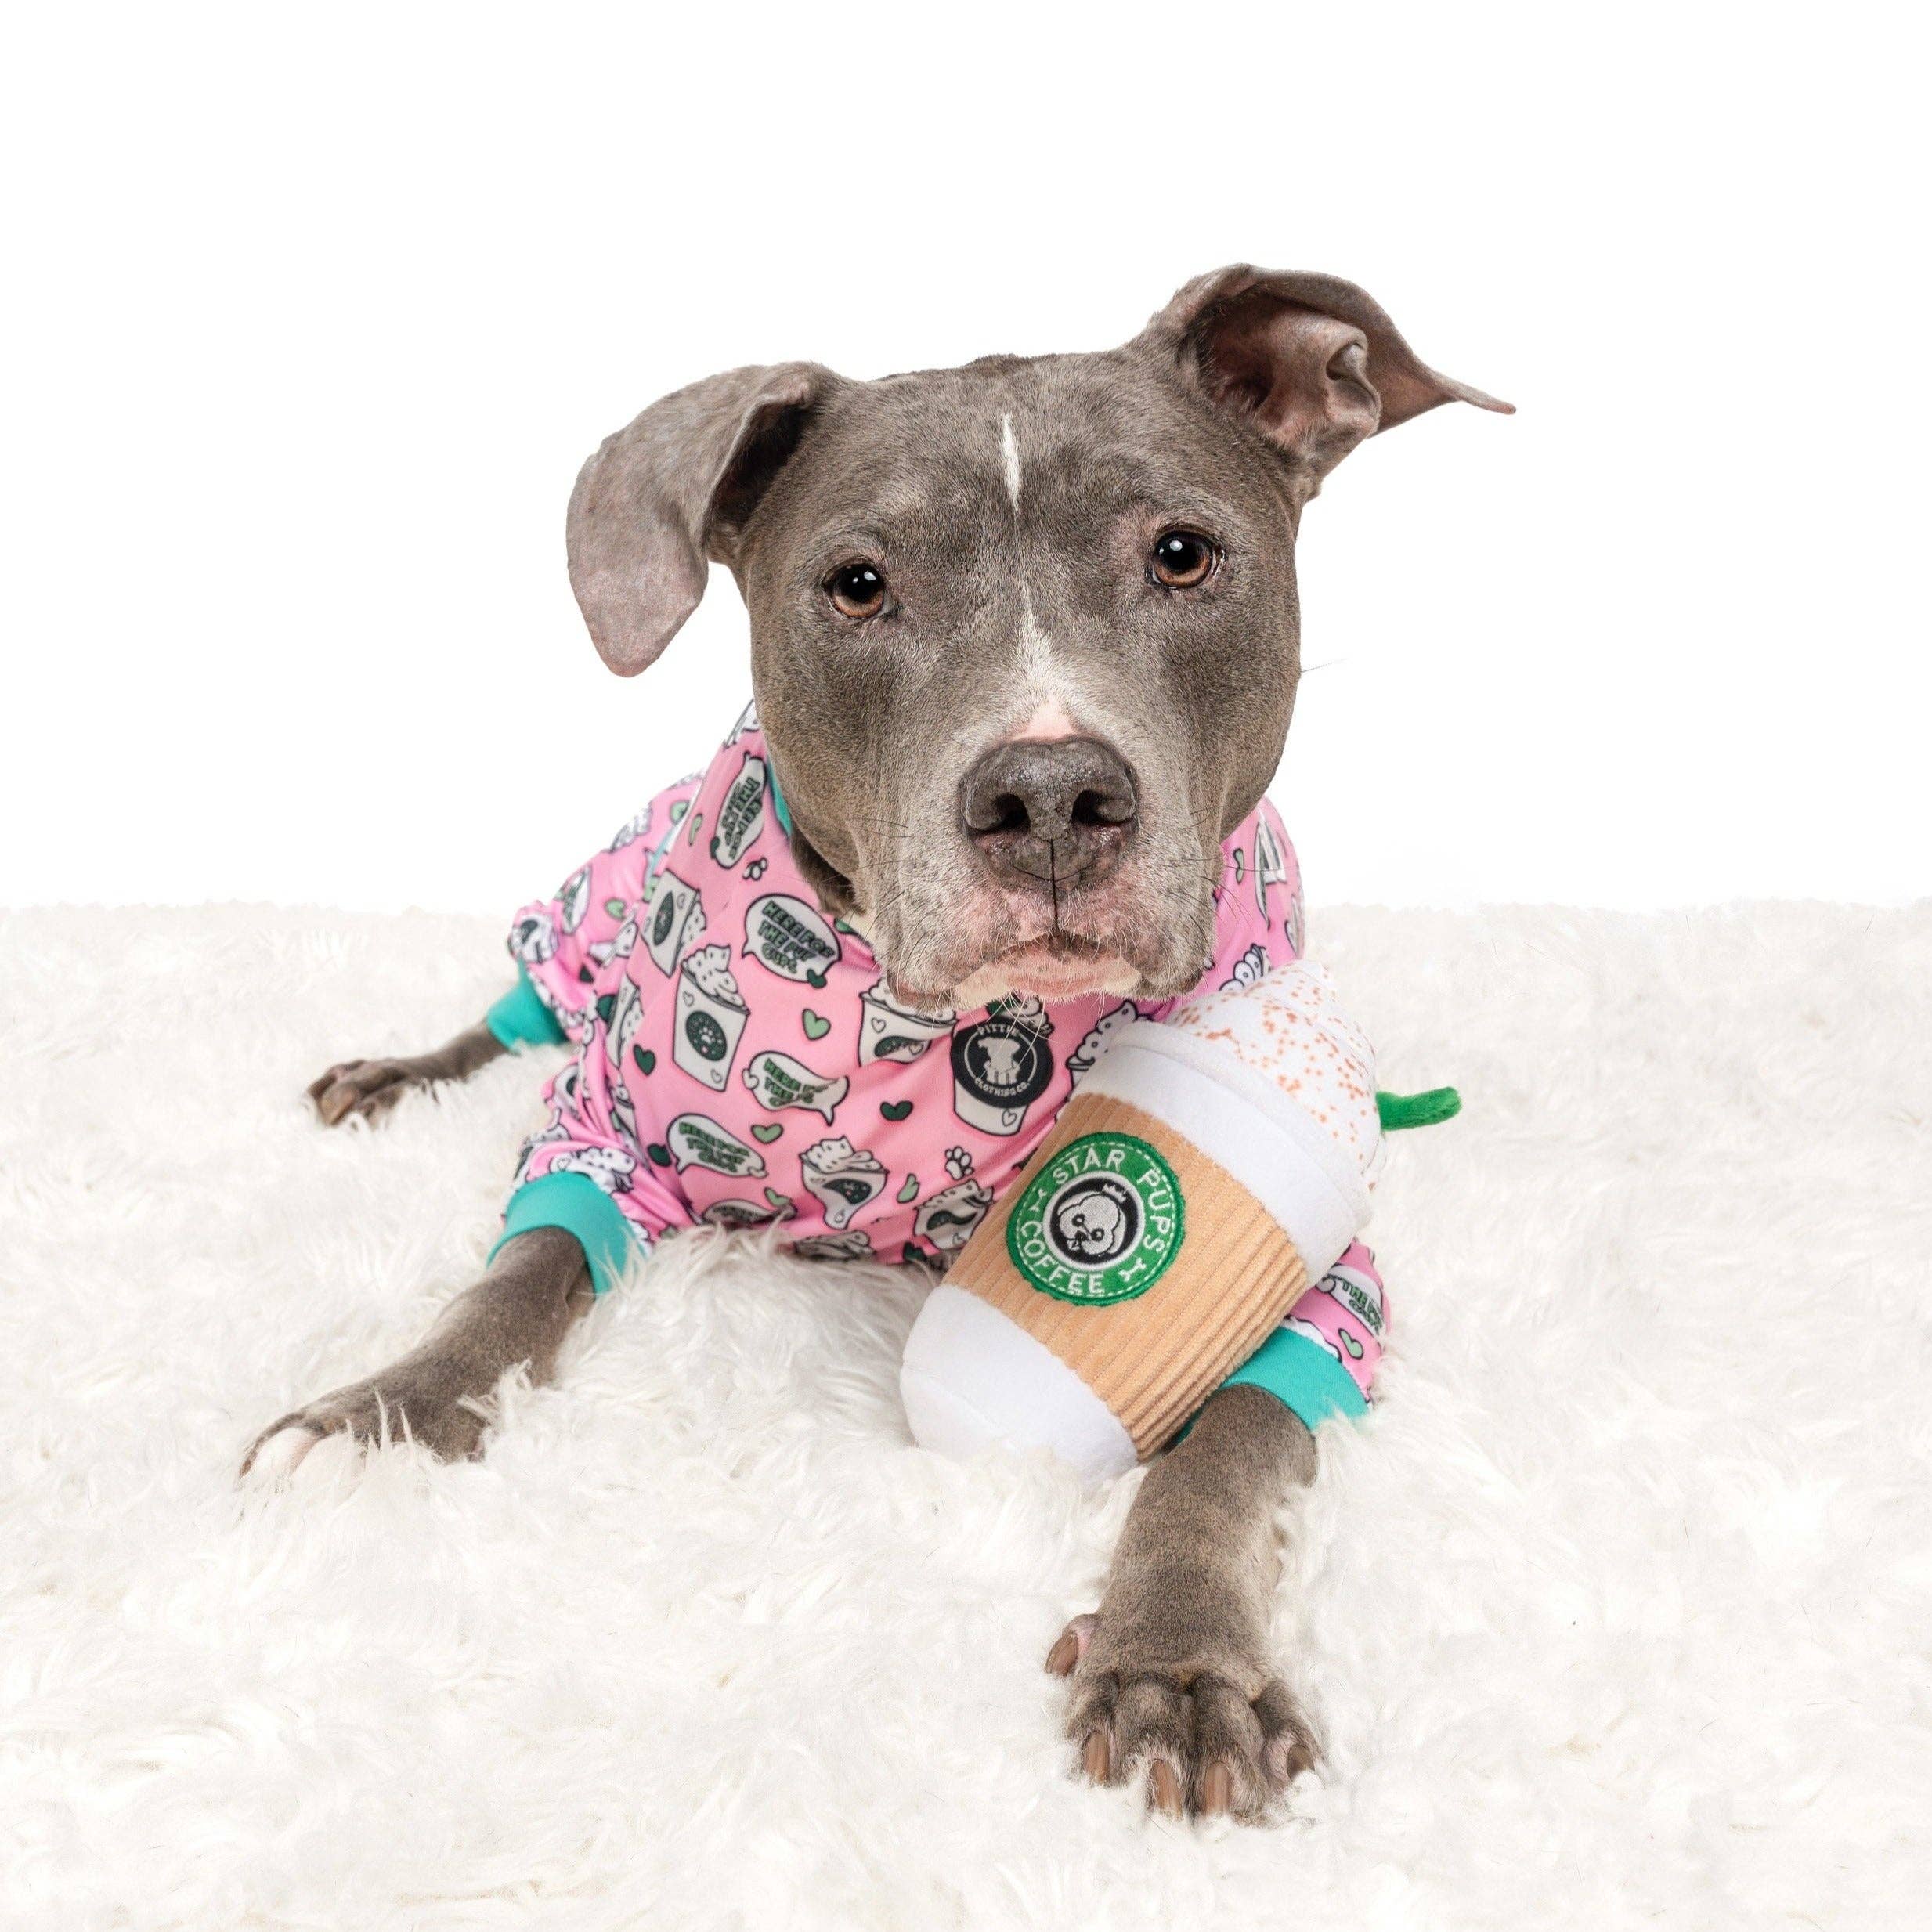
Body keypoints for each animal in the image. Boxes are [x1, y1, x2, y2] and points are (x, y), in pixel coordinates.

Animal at [261, 266, 1509, 1820]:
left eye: (1179, 555)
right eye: (857, 585)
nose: (1051, 793)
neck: (955, 1031)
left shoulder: (1327, 1280)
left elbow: (1226, 1444)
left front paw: (1175, 1659)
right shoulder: (607, 1125)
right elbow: (517, 1272)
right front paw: (387, 1410)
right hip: (597, 888)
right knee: (527, 1001)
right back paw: (393, 1077)